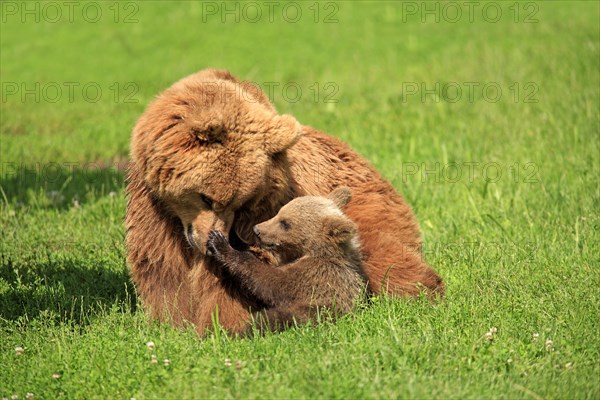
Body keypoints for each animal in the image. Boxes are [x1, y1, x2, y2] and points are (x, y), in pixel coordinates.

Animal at [125, 68, 440, 334]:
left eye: (239, 202)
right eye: (207, 197)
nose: (206, 241)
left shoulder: (269, 205)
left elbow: (247, 276)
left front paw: (224, 324)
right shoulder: (154, 214)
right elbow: (163, 271)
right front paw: (171, 323)